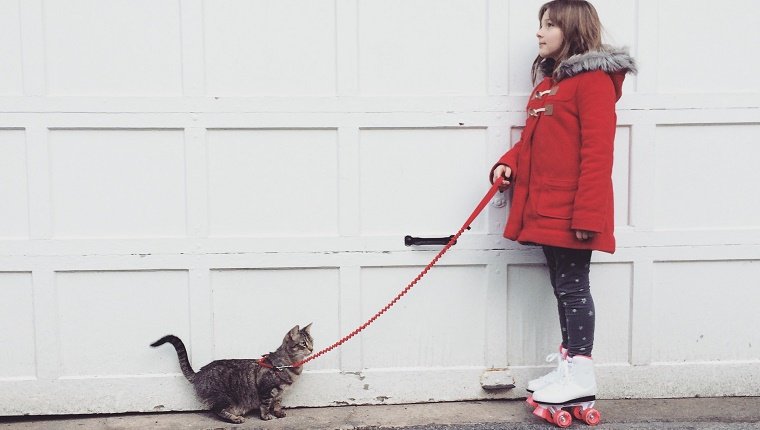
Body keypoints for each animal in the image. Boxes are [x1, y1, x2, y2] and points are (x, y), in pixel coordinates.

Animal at [151, 324, 312, 422]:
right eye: (303, 343)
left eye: (312, 341)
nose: (311, 349)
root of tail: (199, 373)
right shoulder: (266, 389)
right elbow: (265, 405)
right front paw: (266, 416)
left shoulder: (280, 393)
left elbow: (278, 403)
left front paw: (278, 412)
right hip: (224, 397)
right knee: (216, 410)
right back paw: (235, 418)